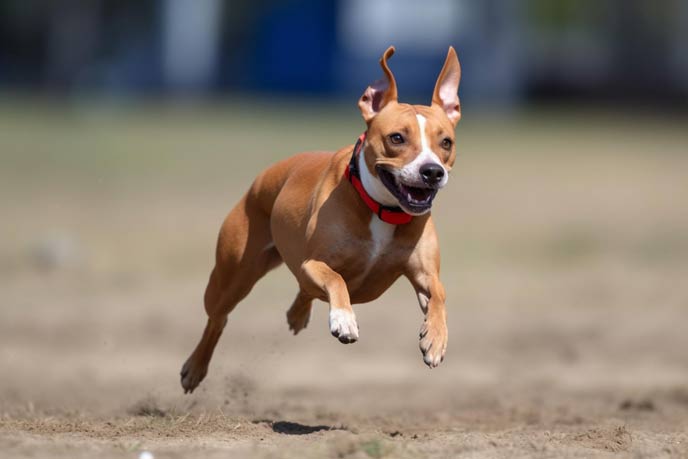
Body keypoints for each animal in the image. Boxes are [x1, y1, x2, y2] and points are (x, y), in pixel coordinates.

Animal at [183, 45, 462, 394]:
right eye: (397, 138)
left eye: (446, 142)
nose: (432, 171)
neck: (382, 209)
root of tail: (263, 179)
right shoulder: (312, 264)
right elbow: (336, 278)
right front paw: (344, 319)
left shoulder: (424, 274)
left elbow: (439, 293)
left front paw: (435, 339)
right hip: (232, 275)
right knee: (217, 318)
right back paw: (194, 368)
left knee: (302, 293)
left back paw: (297, 314)